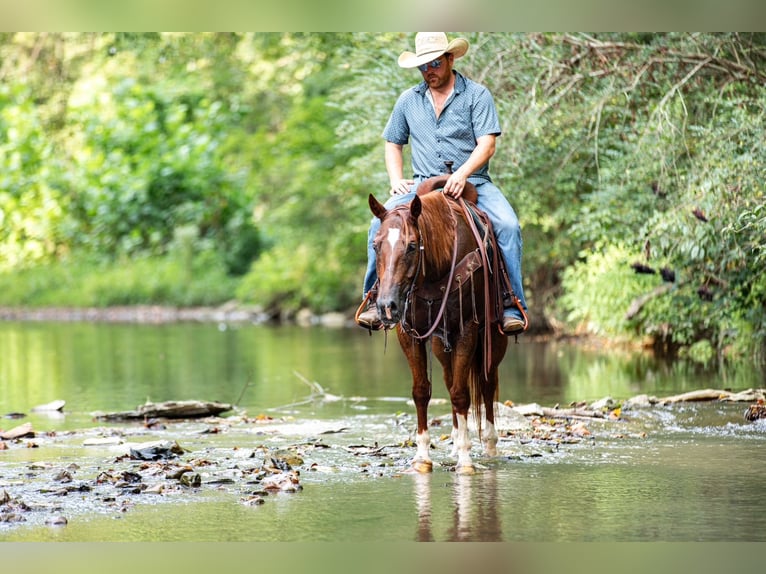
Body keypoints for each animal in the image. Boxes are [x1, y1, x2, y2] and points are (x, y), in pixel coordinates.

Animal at [368, 181, 509, 474]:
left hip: (493, 339)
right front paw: (422, 456)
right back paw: (455, 440)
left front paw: (465, 459)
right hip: (441, 345)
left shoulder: (467, 330)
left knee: (487, 384)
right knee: (449, 378)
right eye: (375, 245)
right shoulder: (410, 334)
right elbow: (422, 391)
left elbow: (461, 395)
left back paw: (489, 445)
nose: (386, 306)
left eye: (412, 246)